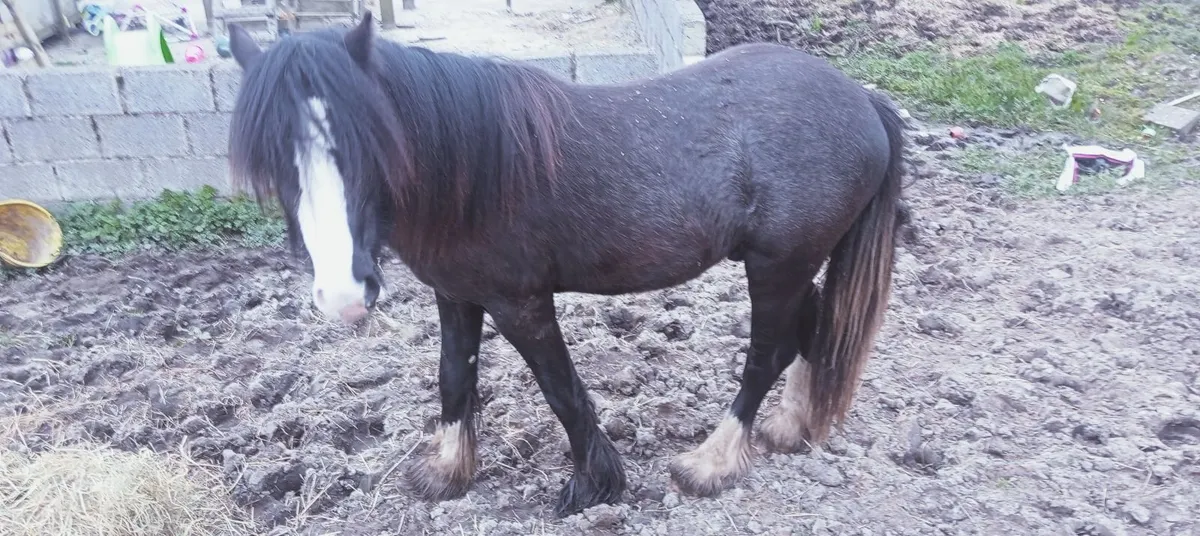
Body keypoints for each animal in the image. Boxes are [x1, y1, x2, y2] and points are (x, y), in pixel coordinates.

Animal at [225, 12, 908, 517]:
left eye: (370, 140)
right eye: (272, 158)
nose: (343, 294)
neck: (474, 170)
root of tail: (862, 100)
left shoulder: (520, 303)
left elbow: (561, 390)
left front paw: (592, 486)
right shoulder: (457, 294)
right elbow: (454, 377)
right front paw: (448, 471)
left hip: (776, 266)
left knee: (767, 354)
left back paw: (709, 464)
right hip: (794, 265)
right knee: (811, 330)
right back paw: (791, 428)